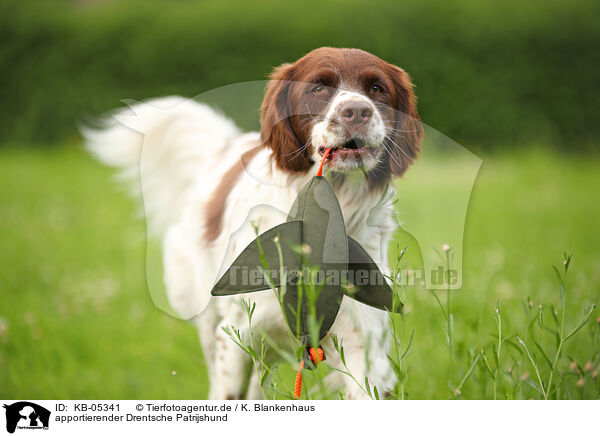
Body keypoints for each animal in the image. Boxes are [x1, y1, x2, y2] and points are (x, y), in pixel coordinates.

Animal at [86, 46, 424, 398]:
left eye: (377, 88)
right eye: (318, 88)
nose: (357, 111)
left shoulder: (365, 349)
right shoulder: (237, 335)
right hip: (208, 316)